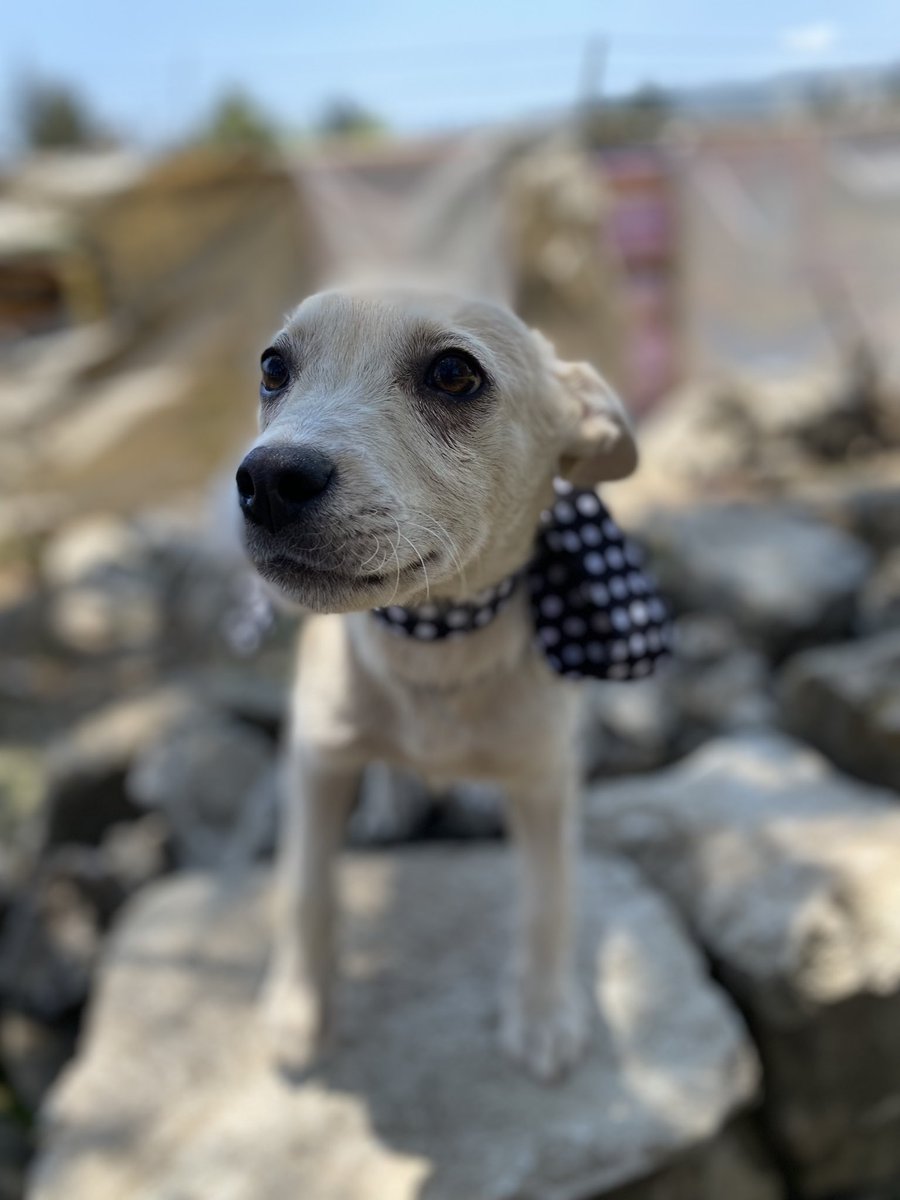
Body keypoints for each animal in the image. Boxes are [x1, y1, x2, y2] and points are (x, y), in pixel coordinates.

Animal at [236, 284, 639, 1082]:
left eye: (454, 373)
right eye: (273, 368)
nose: (265, 480)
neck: (433, 646)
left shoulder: (547, 784)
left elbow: (549, 900)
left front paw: (544, 1014)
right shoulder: (314, 760)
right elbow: (305, 889)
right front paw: (298, 1008)